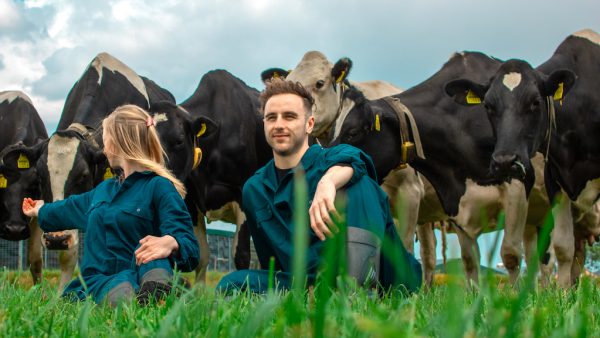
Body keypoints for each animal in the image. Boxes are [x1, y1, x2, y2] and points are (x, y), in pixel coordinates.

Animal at [446, 29, 600, 288]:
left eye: (535, 102)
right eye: (488, 106)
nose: (505, 161)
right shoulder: (555, 180)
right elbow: (563, 247)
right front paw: (564, 293)